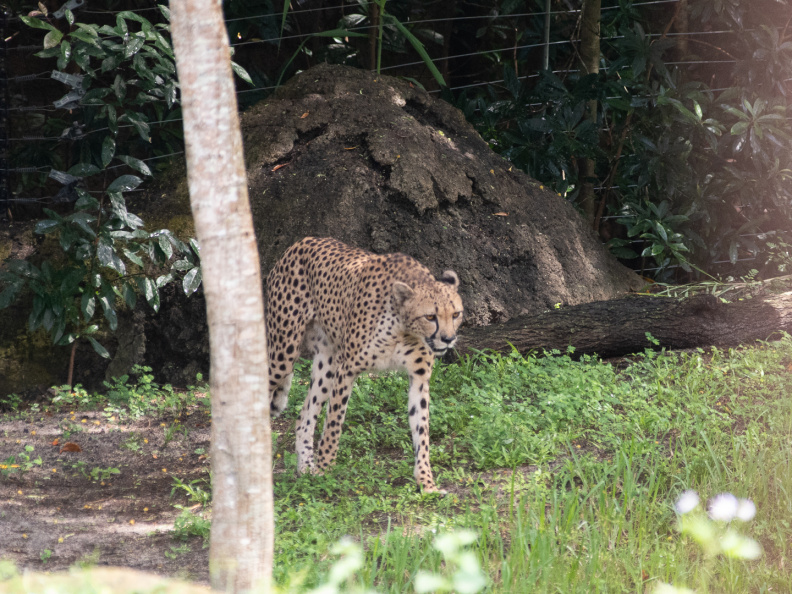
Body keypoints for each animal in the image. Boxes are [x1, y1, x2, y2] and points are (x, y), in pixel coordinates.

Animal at [266, 236, 463, 494]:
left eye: (456, 314)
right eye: (430, 317)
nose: (448, 339)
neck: (403, 328)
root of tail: (302, 241)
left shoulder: (419, 376)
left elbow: (422, 430)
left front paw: (426, 482)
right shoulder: (347, 370)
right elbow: (333, 426)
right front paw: (326, 472)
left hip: (327, 362)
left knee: (304, 416)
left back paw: (306, 470)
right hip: (283, 353)